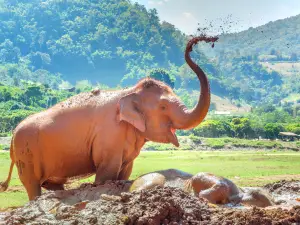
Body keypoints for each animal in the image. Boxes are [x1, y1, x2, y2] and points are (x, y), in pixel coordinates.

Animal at [0, 36, 217, 201]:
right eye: (163, 107)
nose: (194, 43)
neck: (129, 91)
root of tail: (12, 134)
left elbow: (124, 172)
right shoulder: (109, 136)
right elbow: (106, 173)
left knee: (53, 185)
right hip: (26, 154)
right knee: (32, 185)